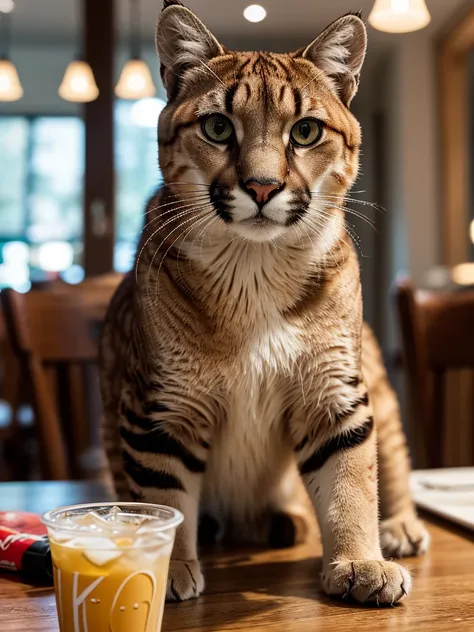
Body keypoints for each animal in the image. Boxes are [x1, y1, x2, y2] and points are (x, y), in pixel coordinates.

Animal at [100, 0, 430, 604]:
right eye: (217, 126)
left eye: (305, 131)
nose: (260, 187)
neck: (255, 272)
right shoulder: (160, 405)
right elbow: (162, 495)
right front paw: (168, 562)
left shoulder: (335, 391)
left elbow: (352, 479)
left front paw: (360, 559)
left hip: (378, 383)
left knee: (392, 461)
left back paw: (395, 526)